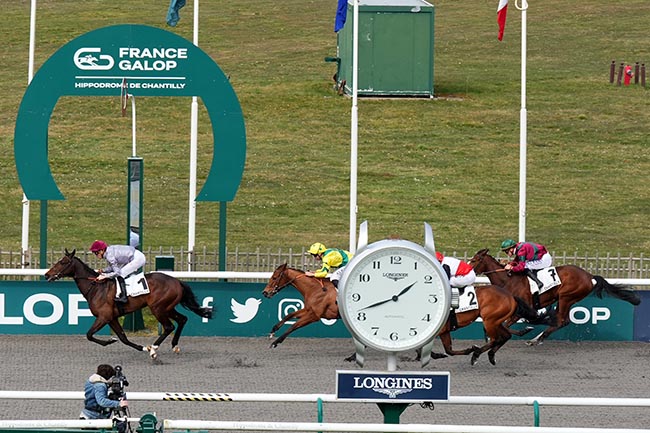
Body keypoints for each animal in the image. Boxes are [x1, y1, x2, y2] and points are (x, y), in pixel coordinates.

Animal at [45, 248, 213, 356]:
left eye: (62, 262)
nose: (47, 274)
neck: (96, 288)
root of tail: (177, 281)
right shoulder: (111, 318)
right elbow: (123, 338)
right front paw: (139, 347)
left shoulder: (104, 317)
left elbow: (89, 335)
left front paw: (110, 341)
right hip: (168, 307)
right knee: (182, 319)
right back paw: (174, 346)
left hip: (158, 308)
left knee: (169, 326)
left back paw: (154, 348)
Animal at [466, 250, 636, 344]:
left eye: (474, 260)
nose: (466, 270)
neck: (508, 280)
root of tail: (589, 276)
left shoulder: (520, 310)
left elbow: (506, 326)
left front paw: (524, 330)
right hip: (566, 299)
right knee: (562, 321)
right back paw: (536, 339)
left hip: (566, 297)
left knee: (561, 321)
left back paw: (535, 340)